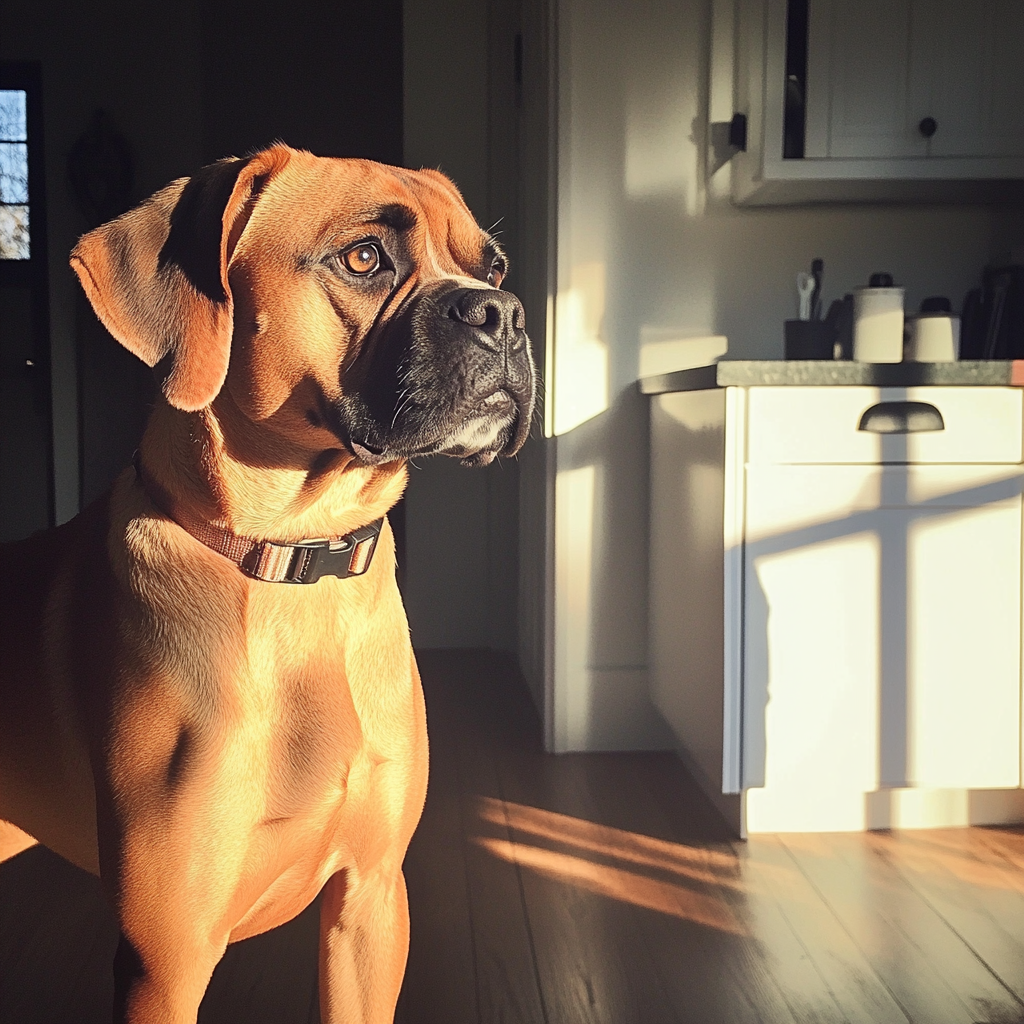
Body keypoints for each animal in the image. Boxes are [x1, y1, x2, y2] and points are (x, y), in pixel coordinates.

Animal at [0, 146, 540, 1024]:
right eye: (364, 258)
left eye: (493, 268)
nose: (506, 314)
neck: (295, 562)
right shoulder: (165, 963)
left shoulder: (370, 904)